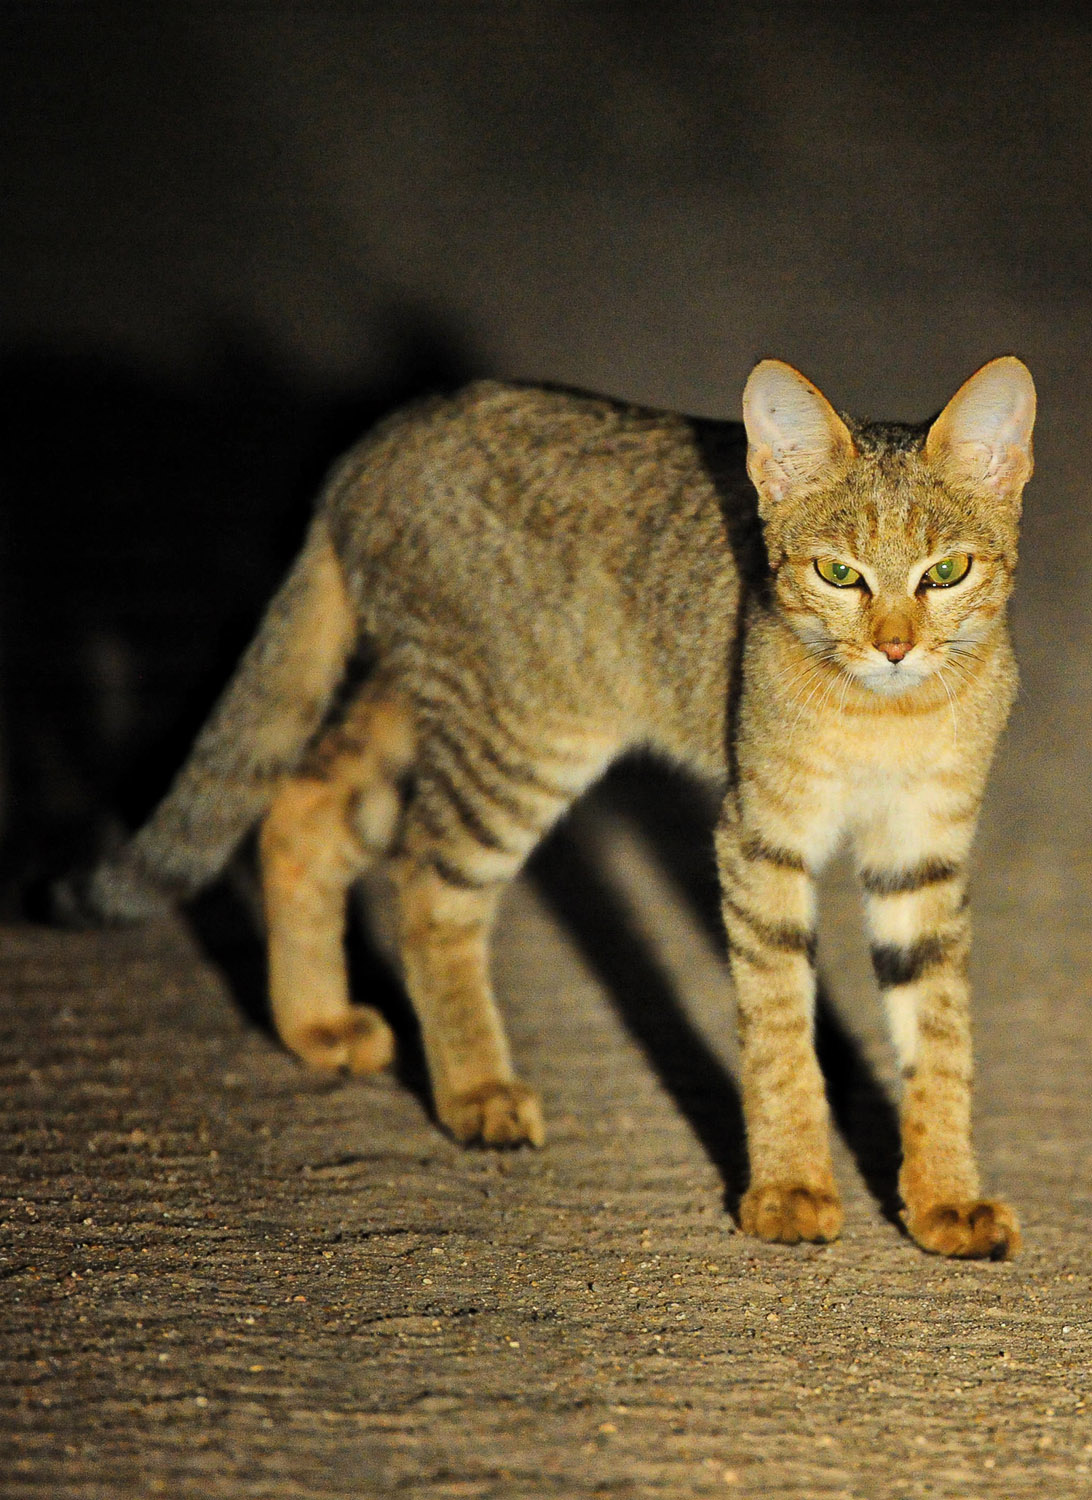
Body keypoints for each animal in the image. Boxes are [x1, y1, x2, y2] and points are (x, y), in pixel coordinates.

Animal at [68, 357, 1032, 1260]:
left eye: (947, 572)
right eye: (838, 574)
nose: (896, 646)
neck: (891, 717)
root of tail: (374, 445)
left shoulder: (923, 852)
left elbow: (938, 1034)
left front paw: (943, 1198)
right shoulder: (763, 835)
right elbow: (781, 1031)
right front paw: (791, 1188)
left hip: (427, 715)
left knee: (302, 804)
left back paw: (313, 1025)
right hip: (518, 744)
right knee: (425, 888)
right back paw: (472, 1089)